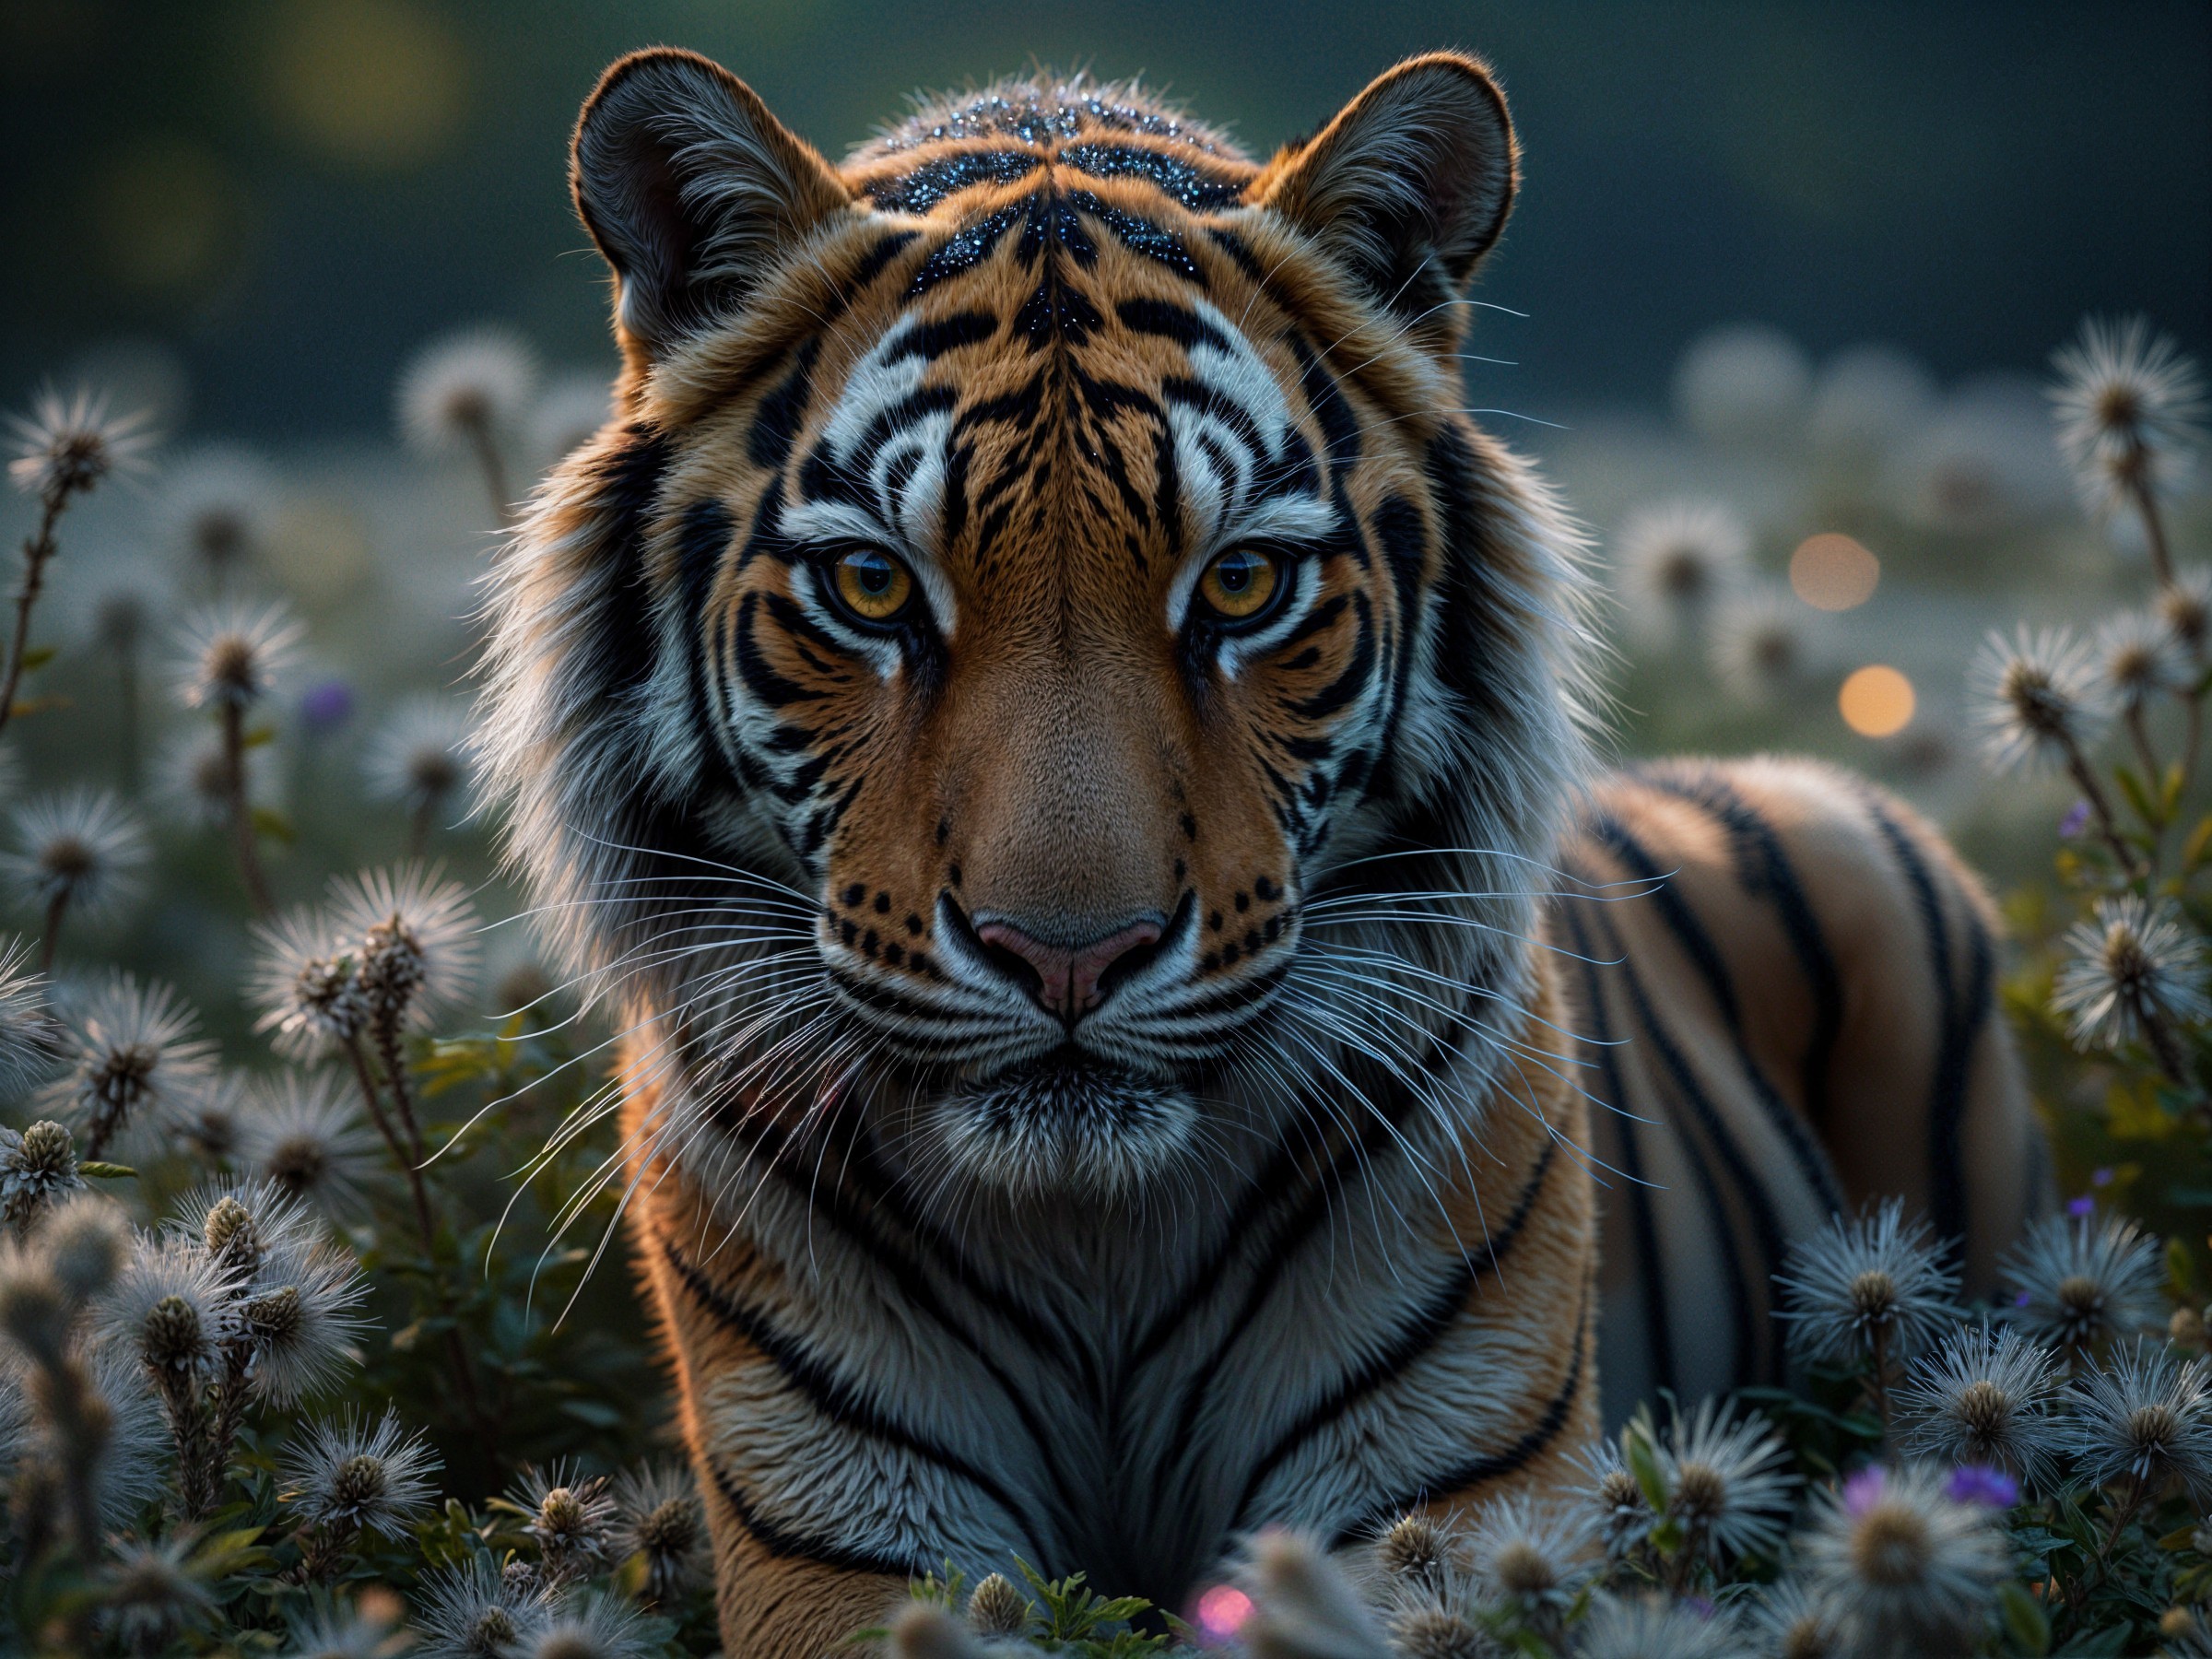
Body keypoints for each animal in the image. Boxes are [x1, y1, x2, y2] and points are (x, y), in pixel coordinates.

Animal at [475, 45, 2046, 1658]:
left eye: (1240, 584)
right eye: (868, 586)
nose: (1070, 957)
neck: (1094, 1238)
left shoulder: (1448, 1504)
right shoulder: (848, 1544)